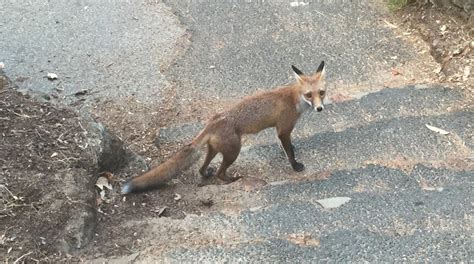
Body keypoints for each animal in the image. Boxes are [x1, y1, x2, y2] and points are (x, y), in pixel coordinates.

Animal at [123, 61, 326, 194]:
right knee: (221, 173)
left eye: (322, 93)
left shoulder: (283, 130)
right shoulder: (283, 129)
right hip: (234, 151)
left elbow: (288, 147)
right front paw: (295, 165)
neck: (294, 99)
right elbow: (289, 151)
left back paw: (207, 174)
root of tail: (213, 122)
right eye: (309, 94)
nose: (320, 108)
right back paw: (233, 180)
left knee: (202, 169)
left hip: (215, 150)